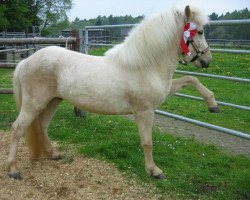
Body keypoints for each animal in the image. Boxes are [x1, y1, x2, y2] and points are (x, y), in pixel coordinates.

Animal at [7, 5, 219, 180]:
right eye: (200, 31)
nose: (207, 60)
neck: (144, 65)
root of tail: (26, 61)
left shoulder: (164, 93)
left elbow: (191, 79)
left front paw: (213, 105)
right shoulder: (145, 111)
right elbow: (147, 142)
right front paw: (154, 171)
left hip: (53, 100)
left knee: (42, 126)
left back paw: (53, 154)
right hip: (34, 104)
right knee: (17, 129)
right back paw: (13, 170)